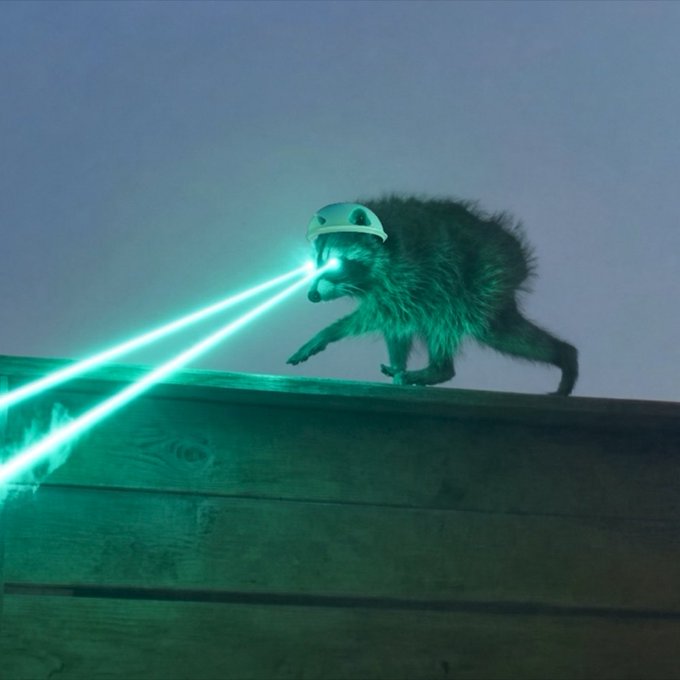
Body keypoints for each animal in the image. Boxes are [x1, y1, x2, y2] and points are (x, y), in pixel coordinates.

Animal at [287, 195, 578, 395]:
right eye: (315, 264)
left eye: (334, 264)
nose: (312, 296)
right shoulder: (396, 286)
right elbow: (396, 326)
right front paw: (397, 362)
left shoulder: (410, 272)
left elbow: (382, 315)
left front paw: (330, 332)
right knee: (501, 330)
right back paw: (563, 353)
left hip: (477, 278)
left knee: (450, 322)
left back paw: (439, 369)